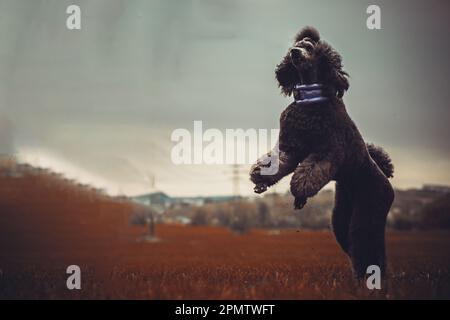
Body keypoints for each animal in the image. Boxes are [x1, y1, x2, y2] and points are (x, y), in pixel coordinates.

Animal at [250, 26, 394, 278]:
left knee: (366, 240)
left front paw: (299, 194)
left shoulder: (330, 151)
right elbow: (280, 162)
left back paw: (372, 279)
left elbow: (307, 174)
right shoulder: (290, 147)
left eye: (309, 48)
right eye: (294, 47)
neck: (310, 100)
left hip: (372, 205)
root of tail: (386, 179)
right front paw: (261, 179)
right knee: (350, 239)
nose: (295, 53)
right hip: (341, 215)